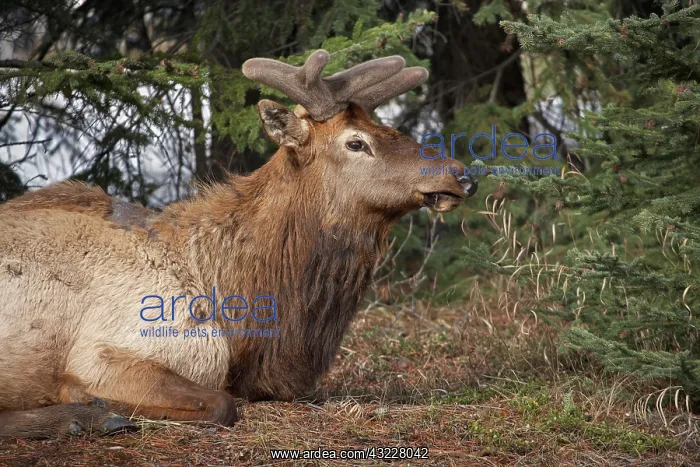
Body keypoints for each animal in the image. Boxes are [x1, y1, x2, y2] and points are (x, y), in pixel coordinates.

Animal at [0, 50, 477, 438]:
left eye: (388, 127)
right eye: (356, 142)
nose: (462, 174)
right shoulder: (109, 350)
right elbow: (221, 402)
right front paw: (88, 402)